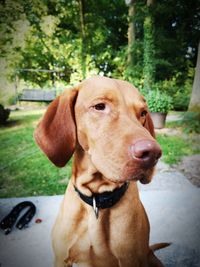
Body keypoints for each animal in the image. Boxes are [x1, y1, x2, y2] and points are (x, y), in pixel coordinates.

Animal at [34, 76, 167, 267]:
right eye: (99, 106)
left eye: (142, 113)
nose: (153, 153)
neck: (97, 198)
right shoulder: (61, 258)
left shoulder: (131, 260)